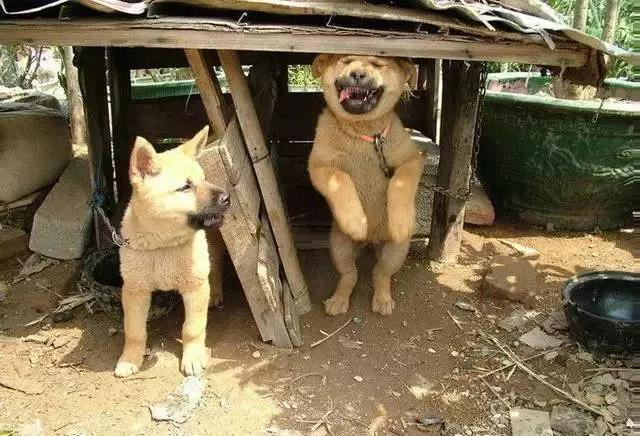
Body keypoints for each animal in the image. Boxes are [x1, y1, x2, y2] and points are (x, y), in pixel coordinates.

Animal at [114, 126, 229, 377]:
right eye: (185, 187)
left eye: (204, 180)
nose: (227, 198)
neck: (163, 245)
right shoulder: (134, 291)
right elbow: (134, 330)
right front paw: (130, 359)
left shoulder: (194, 287)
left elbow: (192, 328)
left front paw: (193, 357)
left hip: (212, 247)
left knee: (215, 265)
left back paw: (215, 292)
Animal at [308, 54, 425, 316]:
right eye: (345, 61)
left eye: (379, 64)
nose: (358, 75)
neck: (365, 136)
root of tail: (371, 241)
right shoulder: (318, 167)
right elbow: (341, 179)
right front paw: (356, 221)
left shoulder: (412, 160)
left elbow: (401, 182)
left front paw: (401, 221)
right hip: (339, 246)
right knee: (349, 275)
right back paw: (339, 299)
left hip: (395, 252)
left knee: (379, 274)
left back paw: (382, 299)